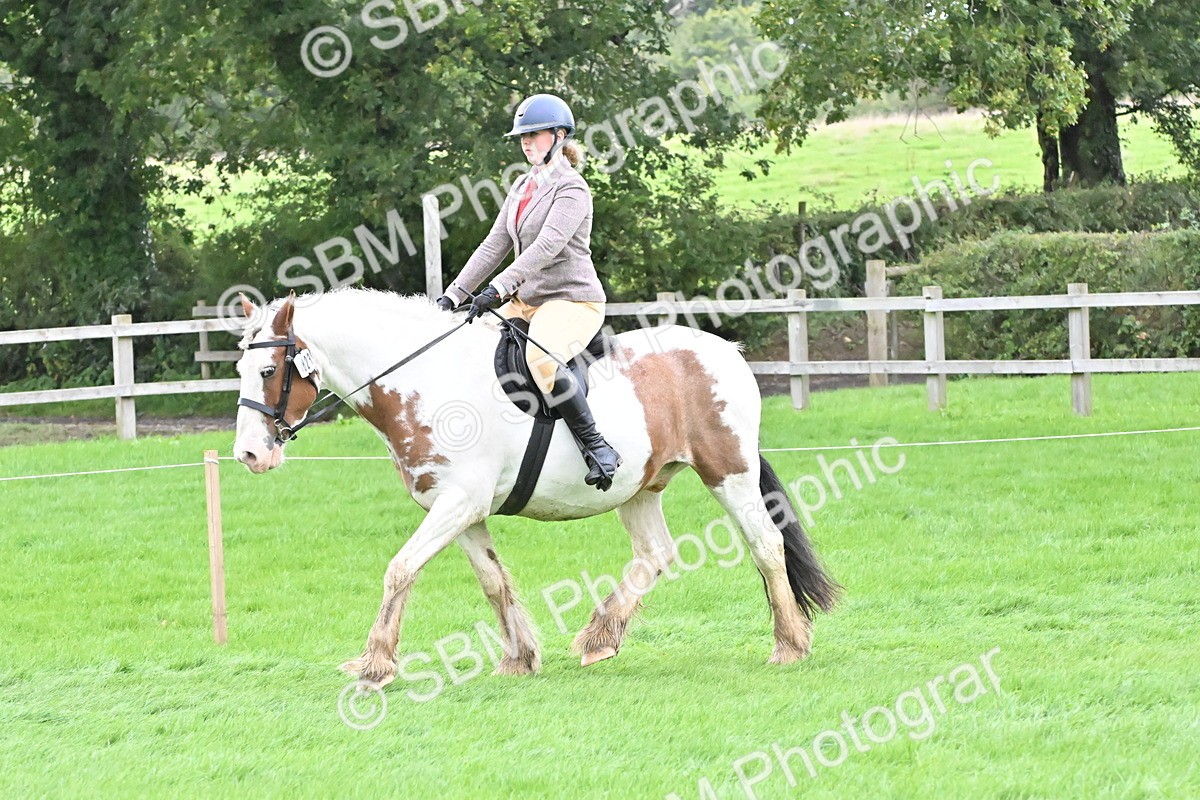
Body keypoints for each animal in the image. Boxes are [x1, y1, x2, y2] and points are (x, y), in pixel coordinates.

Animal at [232, 288, 839, 687]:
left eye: (268, 370)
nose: (249, 455)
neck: (425, 382)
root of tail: (723, 351)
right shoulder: (461, 510)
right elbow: (493, 583)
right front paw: (519, 657)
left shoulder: (458, 503)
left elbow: (400, 568)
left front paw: (375, 664)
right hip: (640, 488)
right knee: (656, 554)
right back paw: (601, 638)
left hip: (728, 473)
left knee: (766, 544)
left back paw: (790, 645)